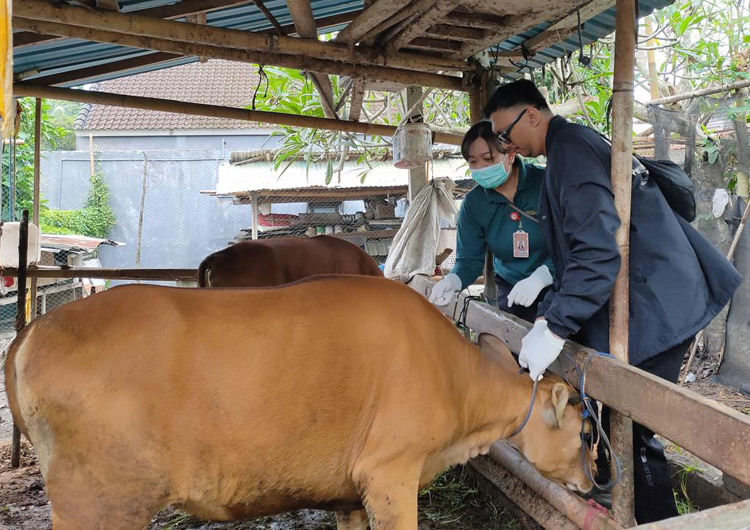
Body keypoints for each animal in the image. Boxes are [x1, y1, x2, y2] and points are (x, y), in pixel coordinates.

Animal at [5, 274, 592, 524]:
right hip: (96, 499)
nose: (593, 486)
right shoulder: (390, 472)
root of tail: (35, 329)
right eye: (587, 431)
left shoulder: (352, 494)